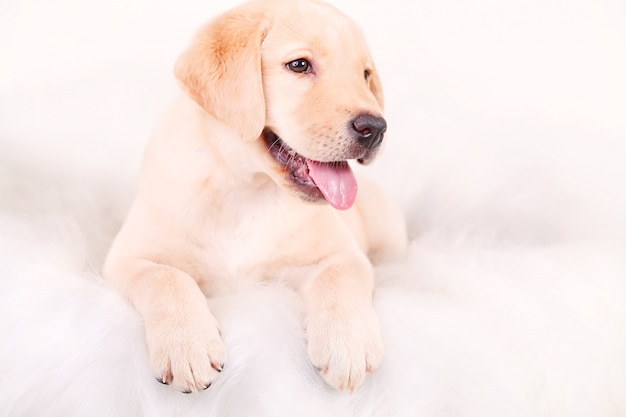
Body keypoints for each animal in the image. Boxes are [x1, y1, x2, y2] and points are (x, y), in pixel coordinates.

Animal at [102, 0, 404, 394]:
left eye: (365, 74)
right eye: (299, 65)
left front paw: (347, 343)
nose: (376, 128)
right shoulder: (127, 257)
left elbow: (339, 277)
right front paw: (187, 344)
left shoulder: (342, 253)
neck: (247, 187)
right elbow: (166, 277)